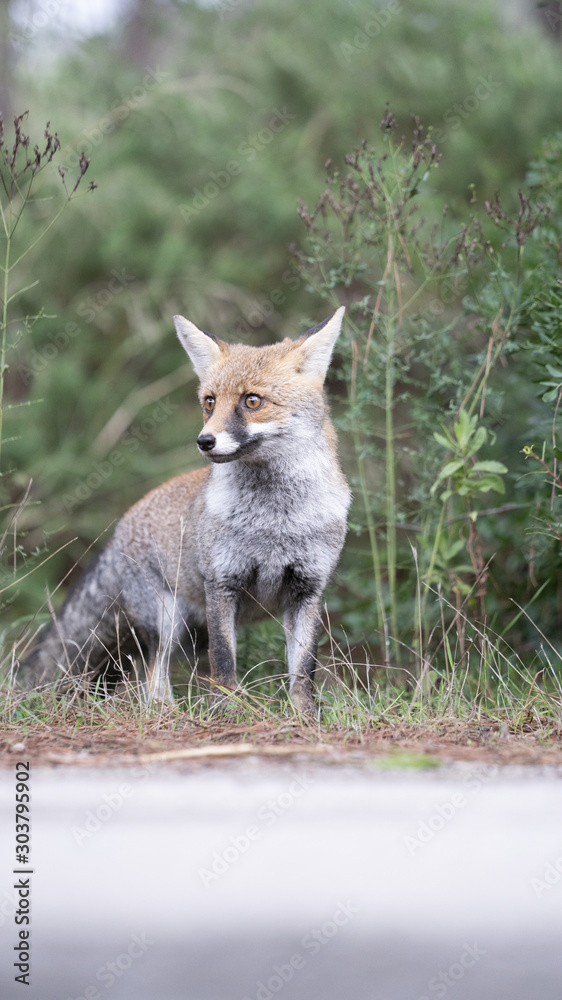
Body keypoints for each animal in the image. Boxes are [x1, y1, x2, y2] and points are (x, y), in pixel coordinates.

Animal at [17, 308, 348, 716]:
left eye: (252, 401)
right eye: (209, 402)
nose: (204, 441)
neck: (275, 523)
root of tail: (119, 529)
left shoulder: (308, 589)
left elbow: (303, 670)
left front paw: (304, 716)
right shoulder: (221, 582)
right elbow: (224, 662)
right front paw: (226, 712)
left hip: (191, 629)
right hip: (168, 621)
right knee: (150, 672)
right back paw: (165, 712)